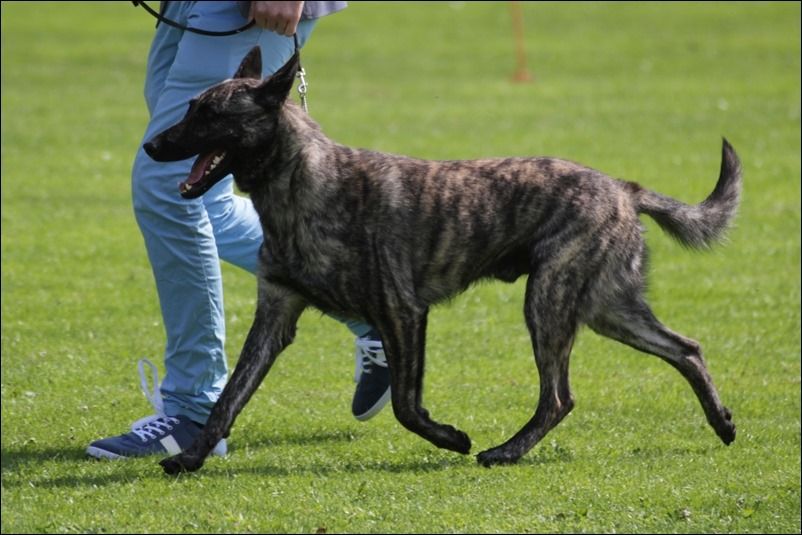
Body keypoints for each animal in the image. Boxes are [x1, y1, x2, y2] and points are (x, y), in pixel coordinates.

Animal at [142, 45, 736, 474]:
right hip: (606, 308)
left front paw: (450, 438)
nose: (150, 147)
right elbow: (228, 399)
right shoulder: (275, 317)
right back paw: (722, 422)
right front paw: (190, 457)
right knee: (686, 349)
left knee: (559, 397)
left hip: (548, 302)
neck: (300, 185)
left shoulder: (403, 313)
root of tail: (624, 189)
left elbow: (406, 405)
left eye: (210, 114)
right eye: (191, 108)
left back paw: (504, 452)